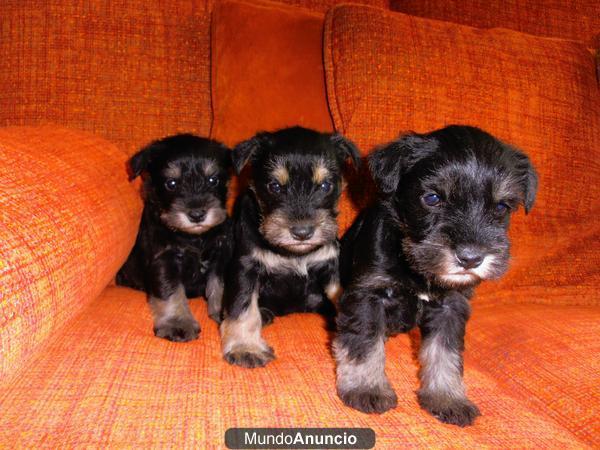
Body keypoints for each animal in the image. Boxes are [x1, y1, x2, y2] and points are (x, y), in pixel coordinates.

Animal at [116, 134, 232, 342]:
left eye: (213, 180)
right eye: (171, 183)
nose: (197, 215)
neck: (194, 237)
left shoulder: (220, 255)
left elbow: (219, 284)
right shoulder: (165, 260)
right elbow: (171, 292)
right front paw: (178, 323)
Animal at [220, 126, 360, 370]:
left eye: (325, 185)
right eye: (274, 186)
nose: (302, 233)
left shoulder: (331, 266)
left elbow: (340, 293)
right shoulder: (246, 268)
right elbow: (243, 307)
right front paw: (245, 347)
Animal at [332, 125, 540, 428]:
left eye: (501, 207)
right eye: (432, 198)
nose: (470, 258)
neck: (417, 268)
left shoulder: (449, 307)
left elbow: (444, 353)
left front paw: (447, 398)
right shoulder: (368, 295)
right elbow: (364, 342)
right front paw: (366, 388)